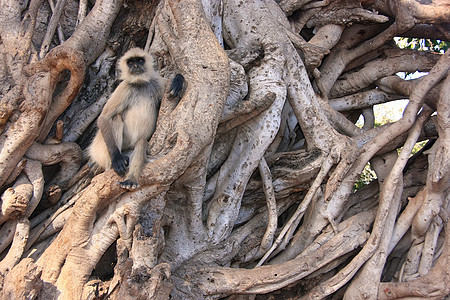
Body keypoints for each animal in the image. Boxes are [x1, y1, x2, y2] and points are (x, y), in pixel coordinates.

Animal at [89, 48, 184, 190]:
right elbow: (104, 118)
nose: (135, 66)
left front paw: (178, 79)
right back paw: (114, 163)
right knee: (115, 118)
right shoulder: (124, 87)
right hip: (101, 149)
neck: (140, 84)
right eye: (130, 62)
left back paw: (131, 180)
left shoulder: (157, 83)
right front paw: (116, 159)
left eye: (140, 60)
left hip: (130, 147)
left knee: (141, 142)